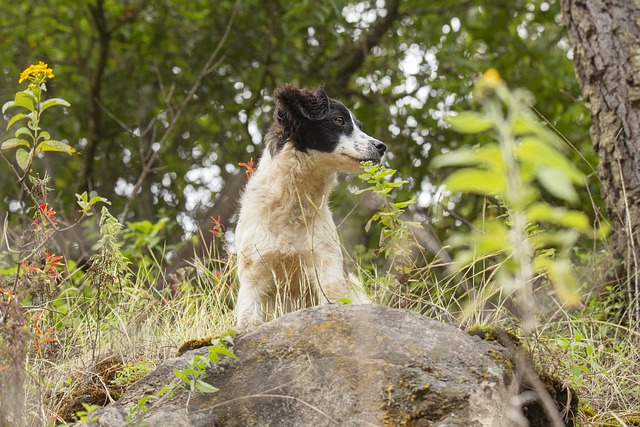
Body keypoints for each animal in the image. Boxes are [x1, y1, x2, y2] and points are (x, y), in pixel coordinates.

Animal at [234, 85, 384, 330]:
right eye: (339, 120)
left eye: (359, 125)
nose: (381, 147)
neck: (292, 206)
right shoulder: (253, 271)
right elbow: (248, 318)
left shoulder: (327, 265)